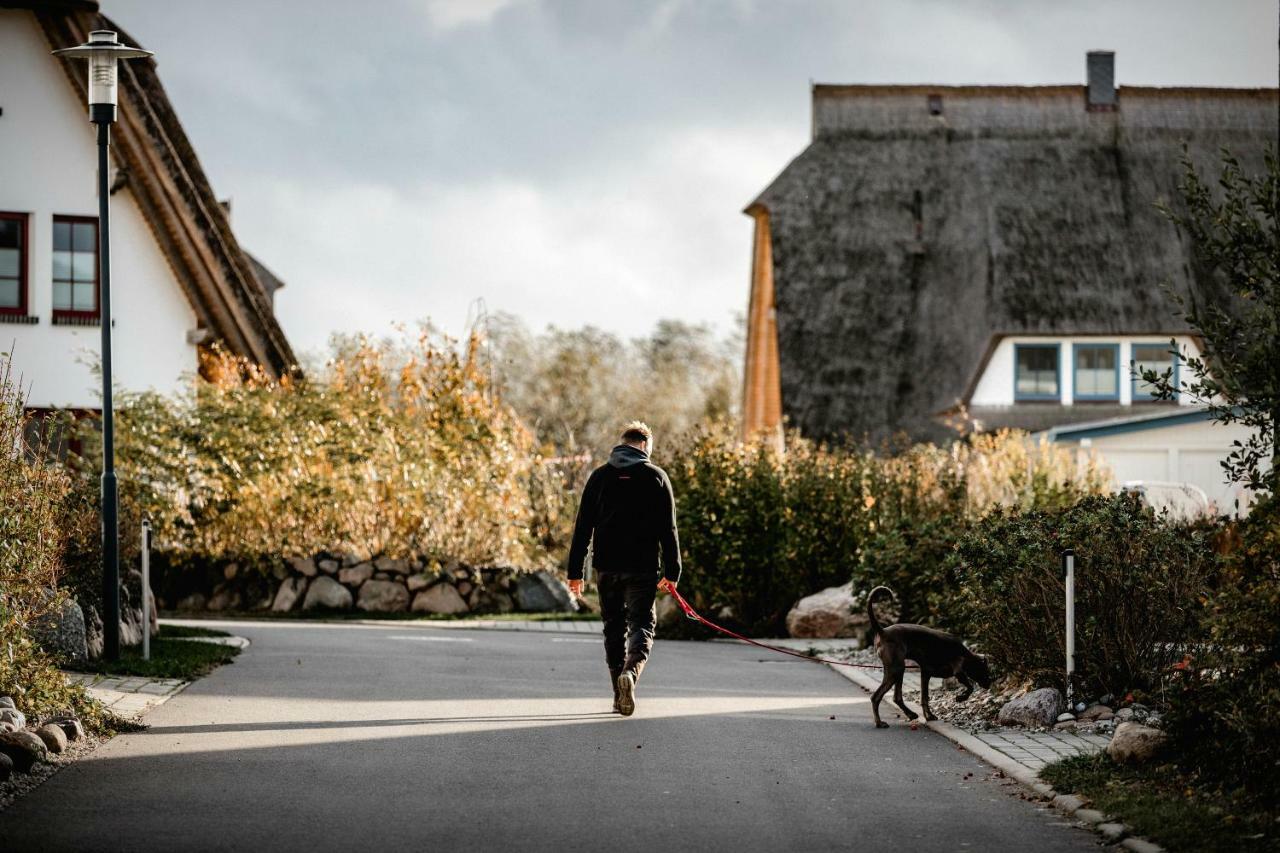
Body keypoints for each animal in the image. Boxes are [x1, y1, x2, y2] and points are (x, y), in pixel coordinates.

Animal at [865, 581, 993, 727]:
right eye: (985, 670)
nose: (990, 683)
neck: (965, 653)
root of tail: (882, 631)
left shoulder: (925, 673)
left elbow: (924, 697)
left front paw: (928, 716)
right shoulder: (958, 671)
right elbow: (970, 687)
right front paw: (961, 698)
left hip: (897, 670)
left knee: (896, 697)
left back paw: (910, 714)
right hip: (896, 669)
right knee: (876, 697)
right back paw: (879, 722)